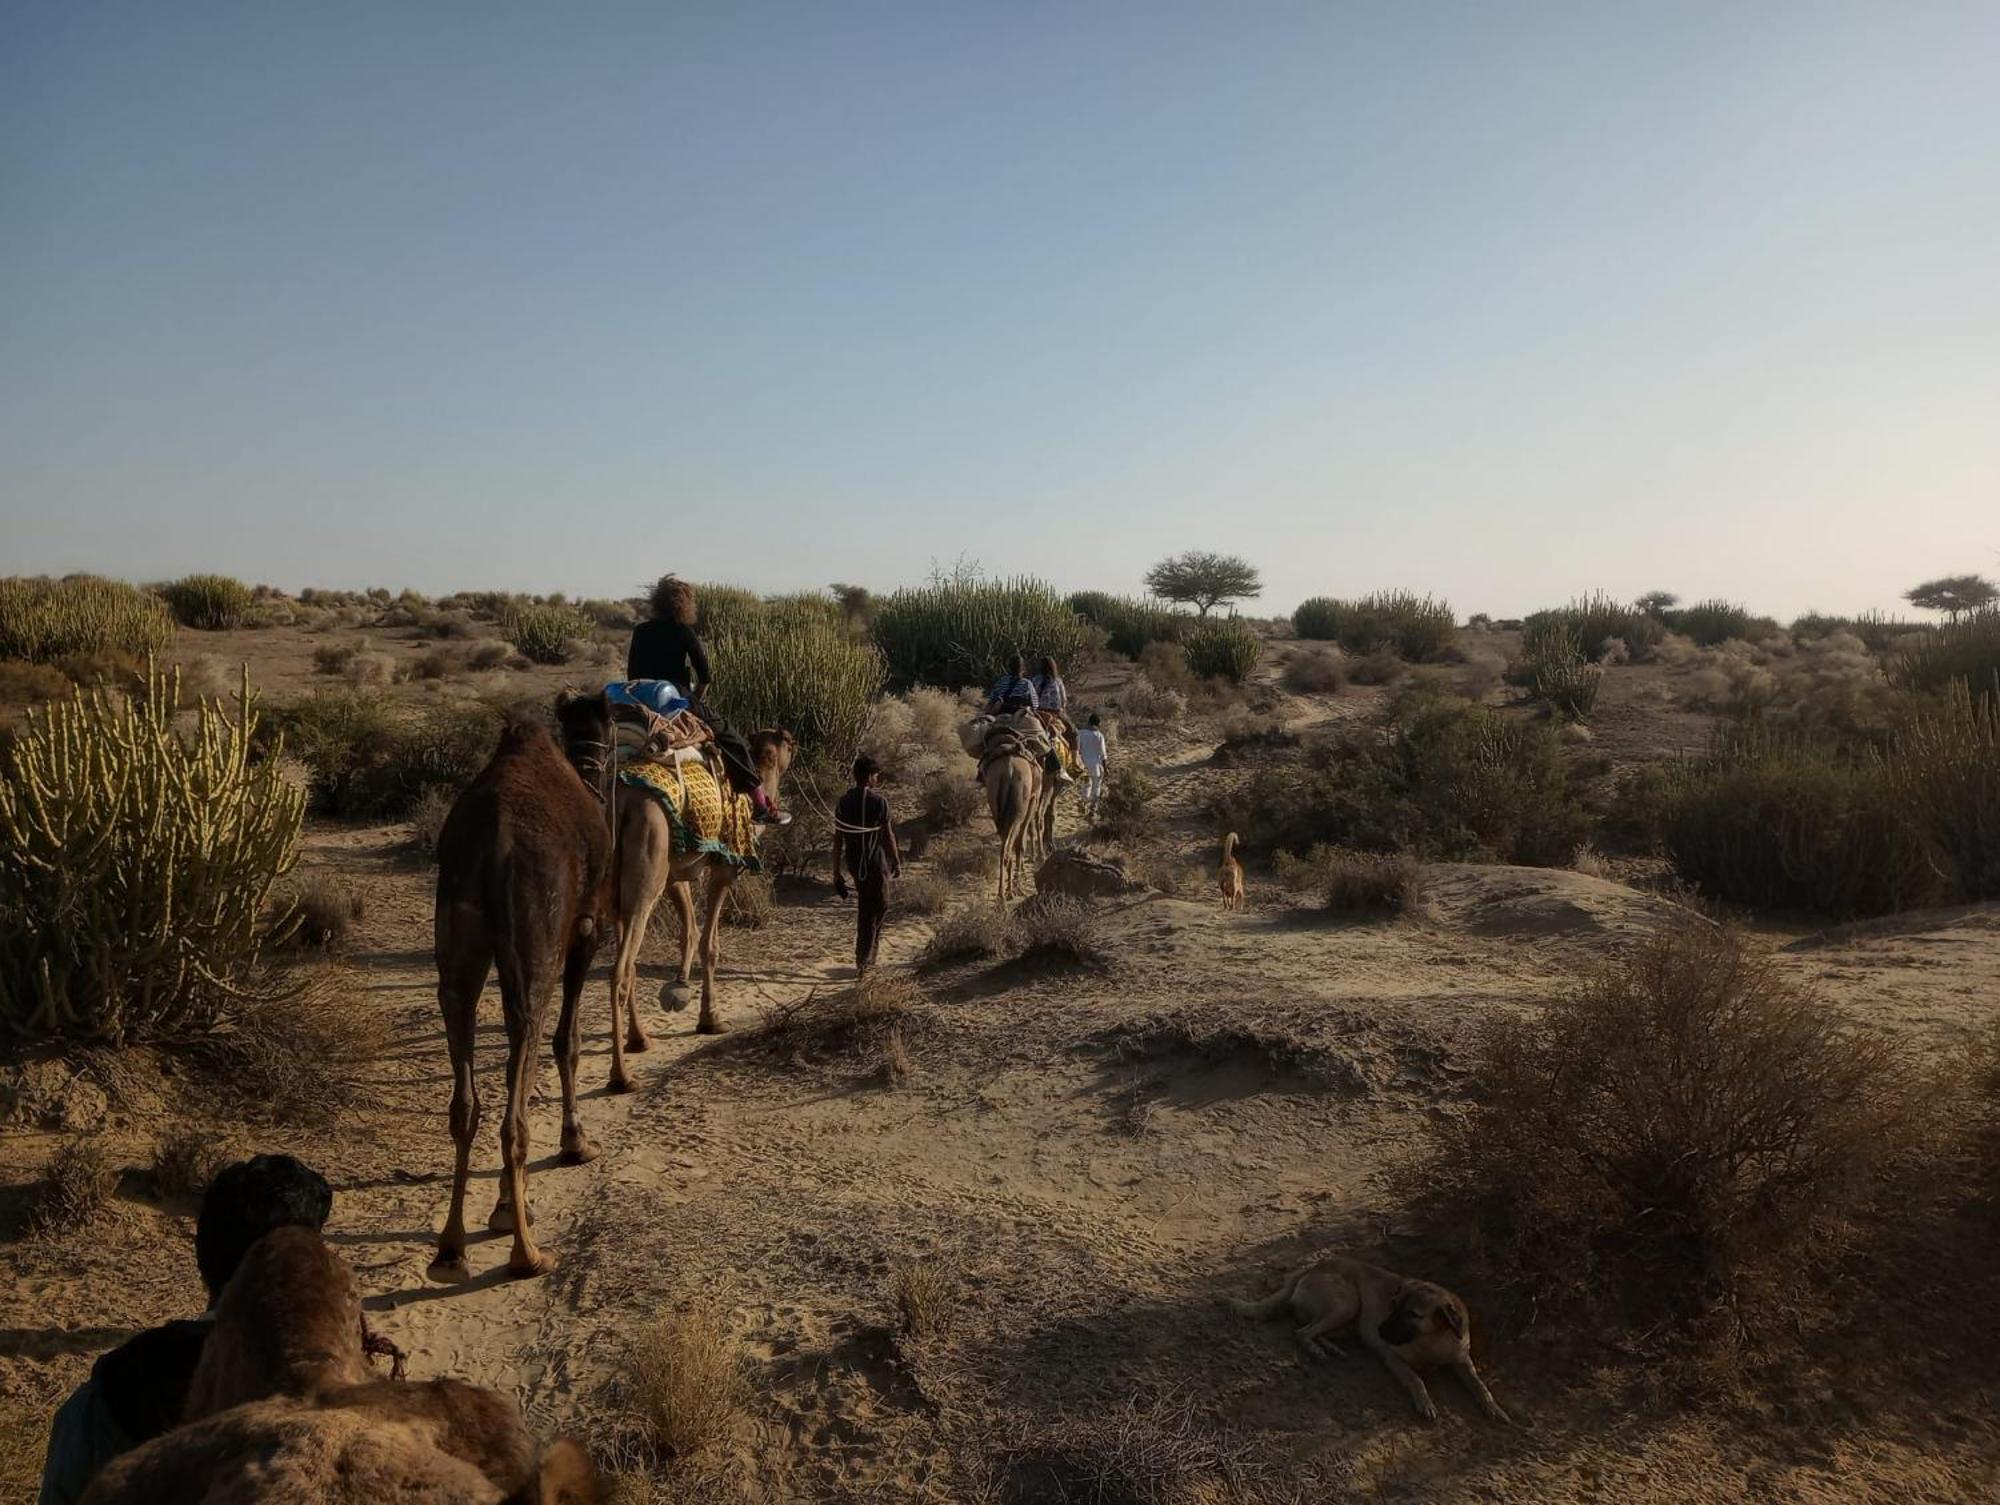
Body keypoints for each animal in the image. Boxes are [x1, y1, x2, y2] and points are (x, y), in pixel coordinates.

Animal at [424, 692, 604, 1280]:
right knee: (529, 1042)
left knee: (465, 1094)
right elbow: (566, 1041)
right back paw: (528, 1254)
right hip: (537, 935)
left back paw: (450, 1250)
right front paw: (574, 1143)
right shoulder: (586, 928)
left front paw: (506, 1202)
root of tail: (495, 839)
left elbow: (509, 1069)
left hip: (459, 934)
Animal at [600, 720, 796, 1080]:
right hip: (647, 871)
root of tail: (620, 804)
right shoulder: (725, 866)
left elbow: (689, 931)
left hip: (616, 888)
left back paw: (639, 1039)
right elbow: (710, 944)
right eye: (786, 742)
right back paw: (622, 1076)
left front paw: (679, 989)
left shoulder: (678, 871)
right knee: (620, 970)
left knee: (626, 962)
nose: (796, 742)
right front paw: (711, 1019)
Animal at [1224, 1256, 1504, 1424]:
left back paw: (1332, 1349)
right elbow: (1416, 1380)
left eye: (1412, 1314)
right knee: (1302, 1333)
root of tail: (1311, 1267)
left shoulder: (1462, 1361)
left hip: (1348, 1320)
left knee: (1313, 1330)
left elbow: (1480, 1385)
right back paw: (1317, 1351)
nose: (1380, 1330)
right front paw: (1425, 1403)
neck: (1434, 1339)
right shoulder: (1393, 1358)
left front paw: (1494, 1408)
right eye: (1393, 1305)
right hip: (1346, 1305)